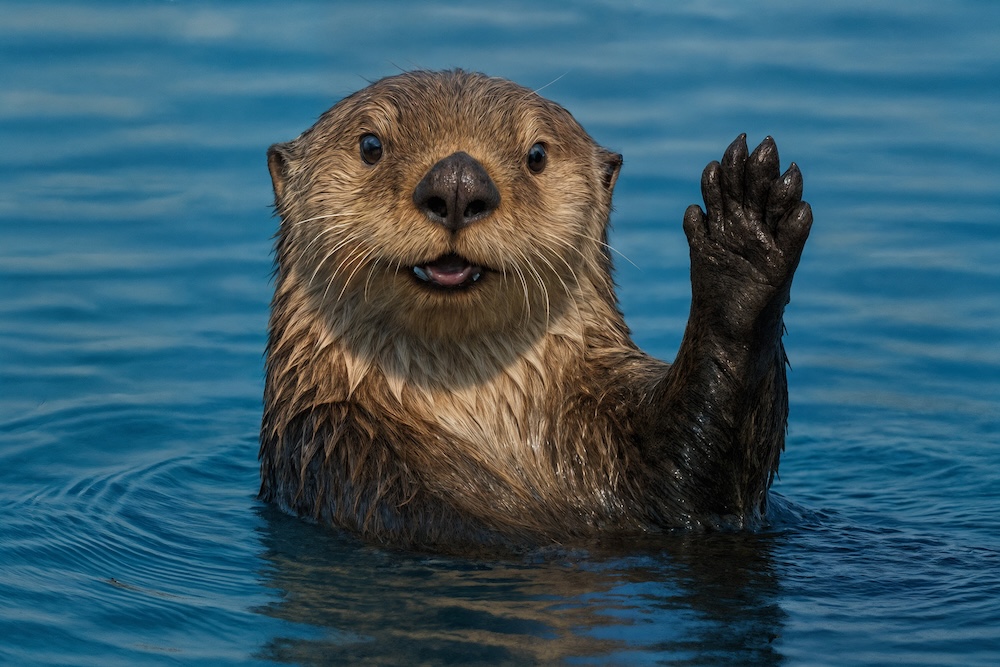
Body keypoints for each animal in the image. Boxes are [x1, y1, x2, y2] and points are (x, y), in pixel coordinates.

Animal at [259, 69, 812, 549]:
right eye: (371, 145)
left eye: (537, 154)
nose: (457, 182)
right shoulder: (335, 451)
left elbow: (709, 484)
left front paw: (745, 231)